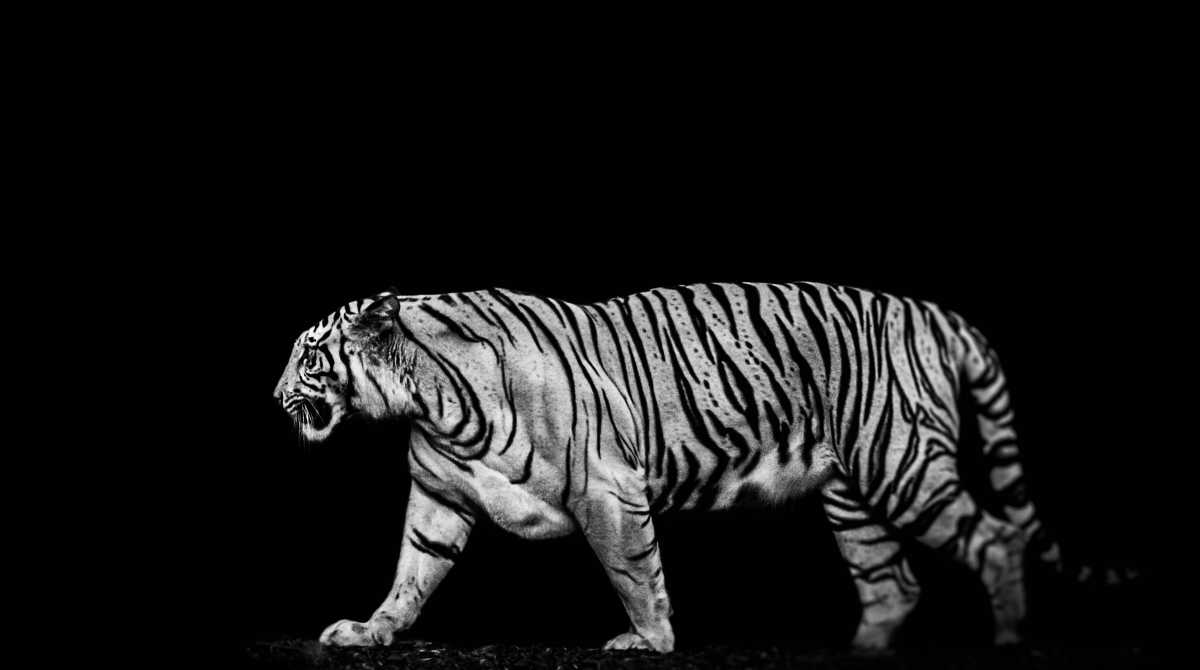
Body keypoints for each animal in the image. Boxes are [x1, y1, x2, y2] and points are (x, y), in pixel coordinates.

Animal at [272, 282, 1060, 653]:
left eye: (308, 355)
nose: (275, 396)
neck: (430, 400)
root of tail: (931, 312)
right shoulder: (442, 497)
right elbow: (412, 573)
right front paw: (371, 631)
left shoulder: (607, 489)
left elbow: (633, 572)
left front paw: (648, 642)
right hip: (853, 496)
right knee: (893, 583)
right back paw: (861, 647)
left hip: (900, 464)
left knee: (995, 540)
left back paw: (1010, 640)